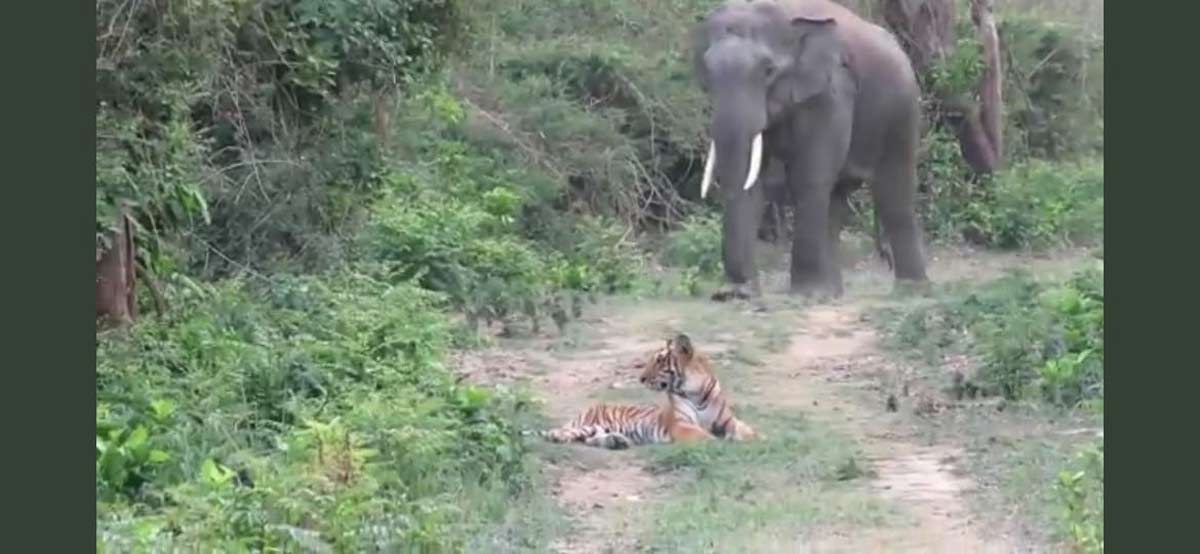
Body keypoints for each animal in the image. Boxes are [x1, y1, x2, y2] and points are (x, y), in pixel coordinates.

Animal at [541, 333, 756, 449]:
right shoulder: (682, 425)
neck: (697, 392)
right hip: (588, 424)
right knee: (561, 432)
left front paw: (757, 439)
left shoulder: (728, 421)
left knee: (590, 439)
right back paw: (558, 436)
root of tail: (590, 408)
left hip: (598, 429)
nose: (641, 378)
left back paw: (617, 441)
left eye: (659, 361)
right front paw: (720, 442)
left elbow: (748, 431)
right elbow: (705, 437)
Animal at [692, 0, 928, 300]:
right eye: (707, 73)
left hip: (903, 110)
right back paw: (834, 292)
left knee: (894, 192)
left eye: (768, 71)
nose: (730, 293)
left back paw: (911, 290)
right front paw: (742, 293)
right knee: (837, 199)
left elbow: (808, 177)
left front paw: (805, 293)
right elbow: (754, 182)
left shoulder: (832, 92)